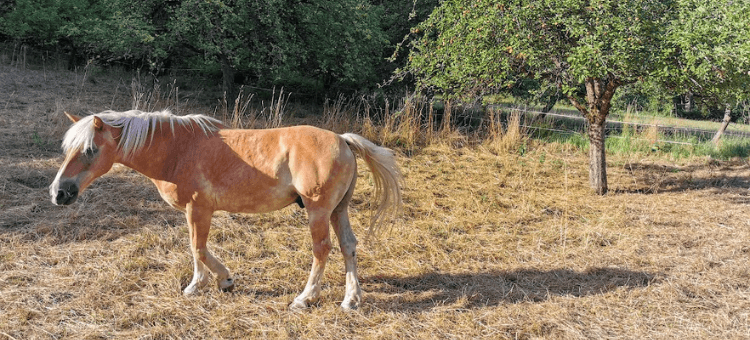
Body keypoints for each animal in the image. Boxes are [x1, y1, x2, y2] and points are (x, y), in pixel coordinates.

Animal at [49, 109, 402, 310]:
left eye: (90, 150)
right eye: (68, 148)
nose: (58, 193)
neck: (178, 149)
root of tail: (343, 140)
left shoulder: (199, 209)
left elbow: (199, 248)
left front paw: (219, 281)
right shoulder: (192, 212)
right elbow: (195, 249)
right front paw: (201, 285)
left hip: (318, 211)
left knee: (322, 250)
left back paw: (305, 298)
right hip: (337, 210)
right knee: (348, 247)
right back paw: (351, 300)